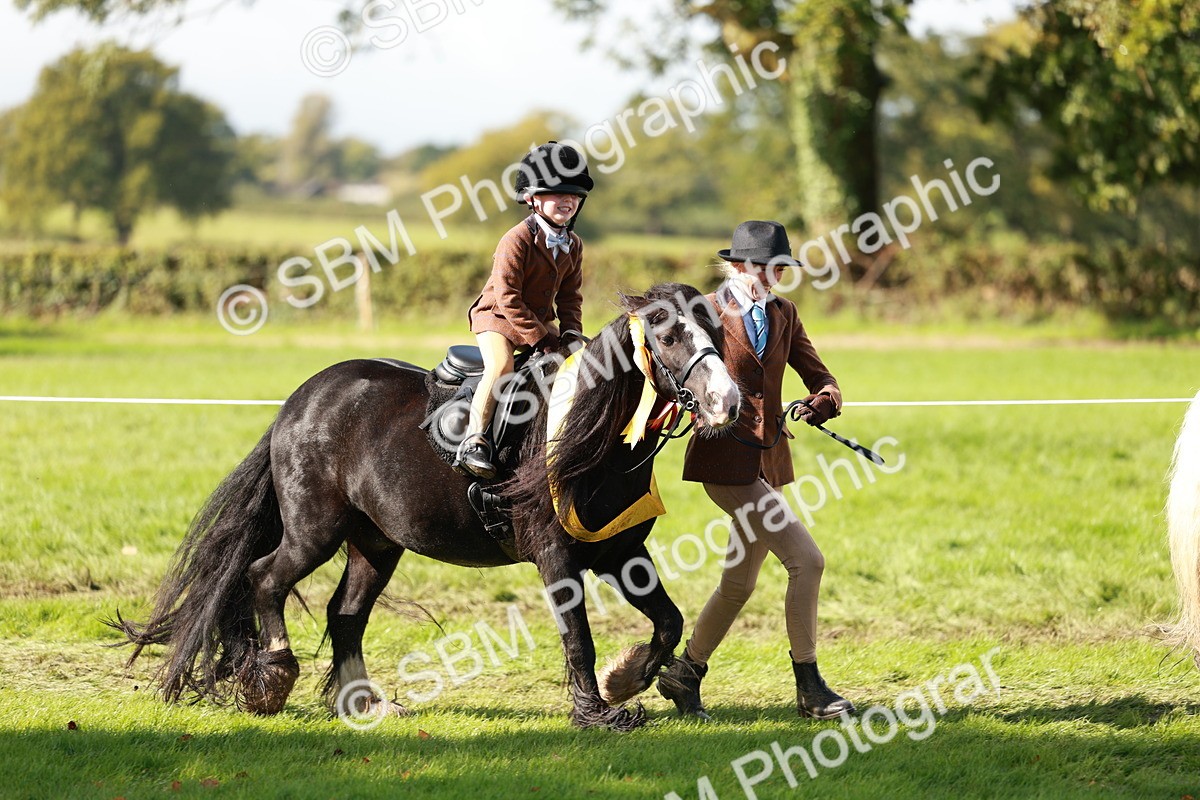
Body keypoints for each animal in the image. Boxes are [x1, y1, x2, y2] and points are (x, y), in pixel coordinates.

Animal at [112, 282, 741, 731]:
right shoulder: (556, 557)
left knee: (345, 614)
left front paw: (624, 680)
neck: (589, 432)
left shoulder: (619, 552)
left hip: (376, 543)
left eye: (715, 328)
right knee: (264, 578)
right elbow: (578, 639)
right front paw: (598, 713)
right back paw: (273, 678)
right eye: (668, 336)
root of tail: (301, 401)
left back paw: (363, 704)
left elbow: (668, 620)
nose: (728, 402)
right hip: (315, 531)